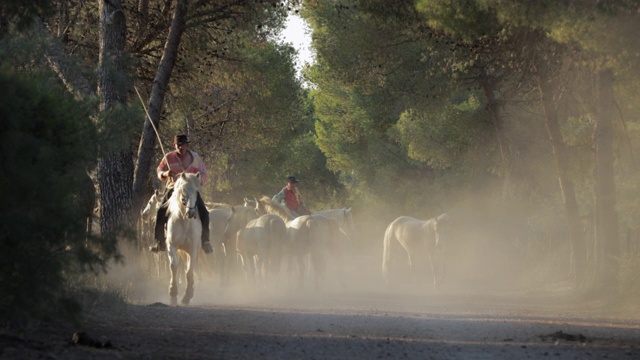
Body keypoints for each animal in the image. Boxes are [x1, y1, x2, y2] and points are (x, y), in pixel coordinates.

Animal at [165, 173, 202, 306]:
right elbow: (173, 266)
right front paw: (173, 294)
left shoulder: (193, 249)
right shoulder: (171, 245)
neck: (185, 222)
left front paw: (187, 296)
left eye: (196, 191)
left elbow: (189, 271)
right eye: (183, 191)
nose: (191, 213)